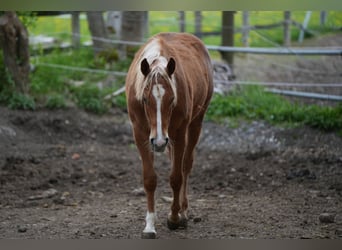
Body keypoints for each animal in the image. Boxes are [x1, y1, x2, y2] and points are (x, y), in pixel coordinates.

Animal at [124, 32, 212, 239]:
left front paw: (174, 217)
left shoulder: (178, 134)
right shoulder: (141, 135)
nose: (159, 142)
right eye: (144, 99)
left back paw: (183, 212)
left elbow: (176, 177)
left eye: (172, 99)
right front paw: (149, 225)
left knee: (185, 166)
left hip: (194, 124)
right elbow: (150, 179)